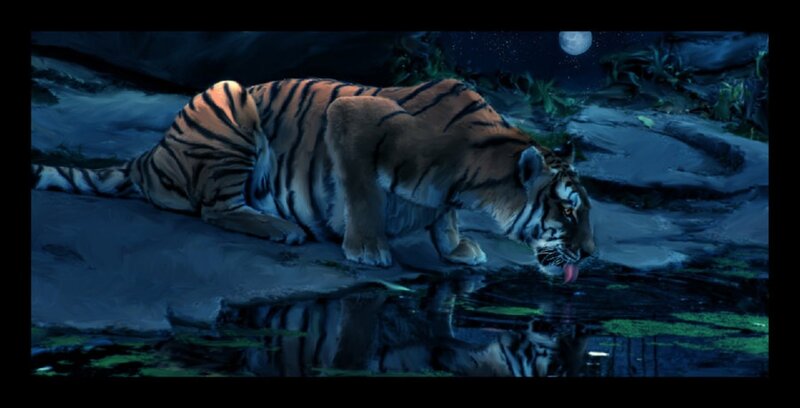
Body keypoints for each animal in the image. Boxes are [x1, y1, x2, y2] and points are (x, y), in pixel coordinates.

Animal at [31, 77, 595, 280]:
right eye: (568, 209)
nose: (590, 254)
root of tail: (150, 154)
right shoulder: (352, 117)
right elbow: (362, 192)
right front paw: (368, 250)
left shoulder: (445, 197)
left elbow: (444, 215)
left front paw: (457, 248)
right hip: (229, 98)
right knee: (212, 207)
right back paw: (280, 228)